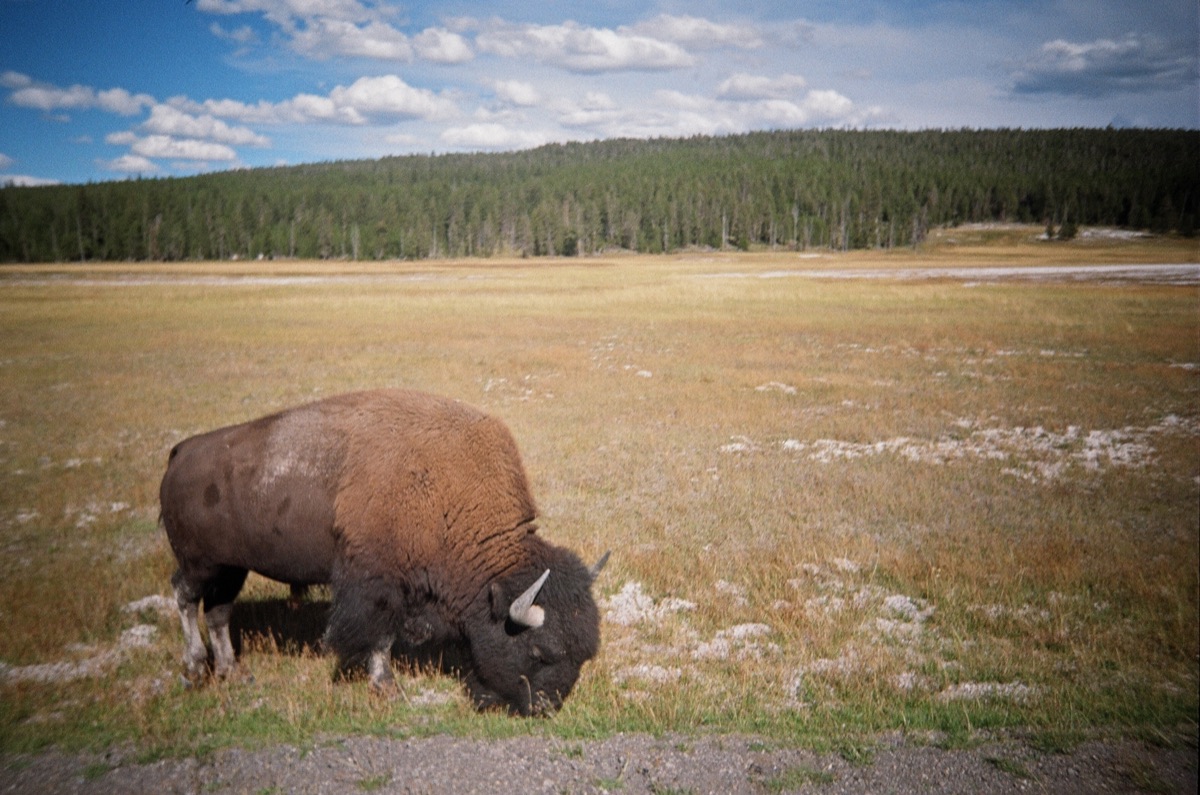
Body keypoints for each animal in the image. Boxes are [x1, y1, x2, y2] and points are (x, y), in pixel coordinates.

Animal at [159, 389, 608, 715]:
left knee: (218, 611)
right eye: (539, 651)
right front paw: (388, 688)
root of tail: (181, 452)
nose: (545, 708)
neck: (449, 495)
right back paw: (194, 668)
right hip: (200, 563)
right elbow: (378, 636)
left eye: (585, 655)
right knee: (185, 596)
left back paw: (233, 672)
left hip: (230, 567)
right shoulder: (377, 585)